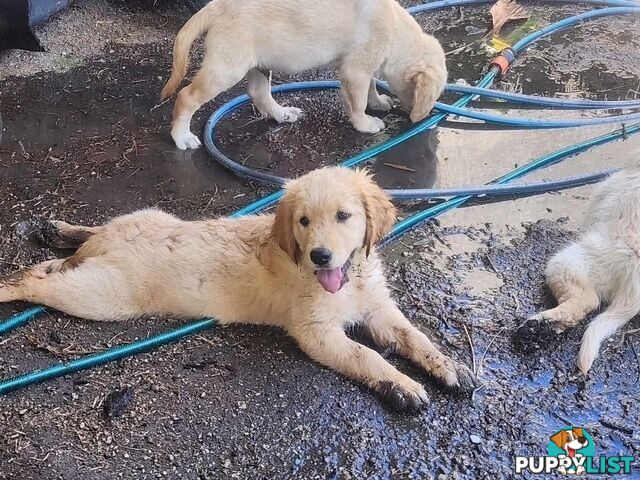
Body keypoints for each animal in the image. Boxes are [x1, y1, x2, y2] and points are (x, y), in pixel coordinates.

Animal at [1, 167, 476, 410]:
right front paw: (401, 386)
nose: (321, 256)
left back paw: (58, 230)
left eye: (344, 216)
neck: (348, 282)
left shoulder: (379, 308)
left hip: (140, 223)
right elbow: (366, 354)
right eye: (304, 221)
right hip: (105, 295)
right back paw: (12, 282)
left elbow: (413, 336)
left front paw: (448, 366)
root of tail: (105, 247)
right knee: (35, 280)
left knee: (75, 246)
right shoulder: (316, 332)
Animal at [160, 0, 448, 149]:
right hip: (227, 67)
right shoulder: (355, 69)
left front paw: (377, 101)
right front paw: (365, 123)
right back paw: (181, 137)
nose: (425, 118)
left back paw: (282, 113)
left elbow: (372, 83)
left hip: (259, 62)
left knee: (258, 92)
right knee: (186, 97)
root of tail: (216, 6)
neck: (397, 32)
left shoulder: (364, 63)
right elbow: (358, 101)